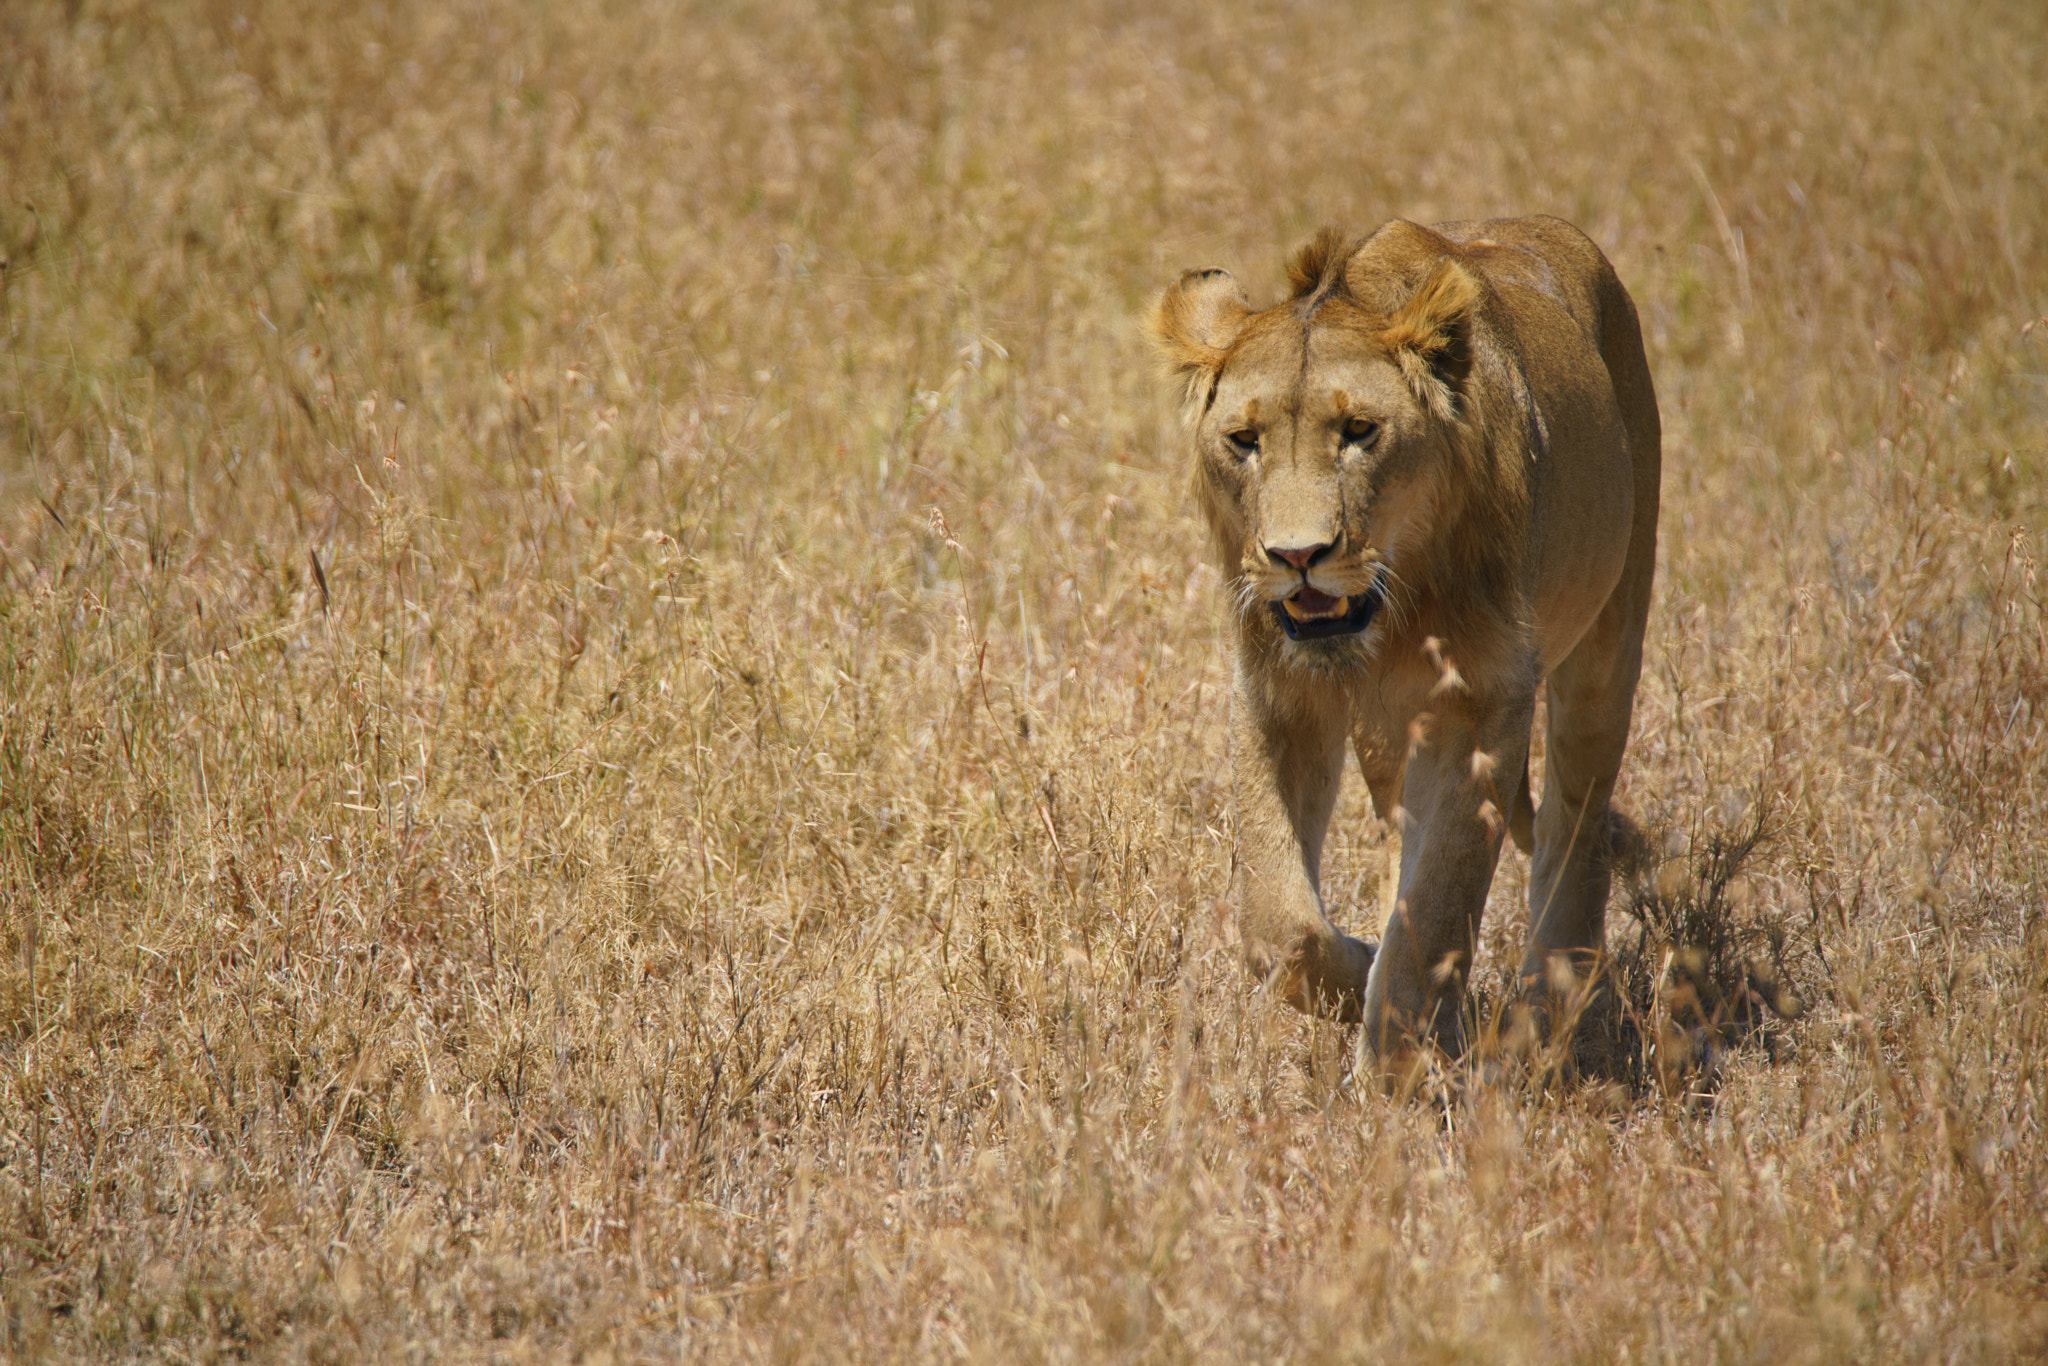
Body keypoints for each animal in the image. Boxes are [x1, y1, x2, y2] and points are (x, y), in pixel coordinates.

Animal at [1146, 219, 1654, 1064]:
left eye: (1360, 432)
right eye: (1243, 440)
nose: (1296, 555)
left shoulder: (1483, 706)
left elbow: (1442, 901)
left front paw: (1399, 1057)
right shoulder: (1276, 692)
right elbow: (1279, 921)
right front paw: (1356, 971)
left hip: (1610, 636)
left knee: (1572, 822)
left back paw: (1551, 1006)